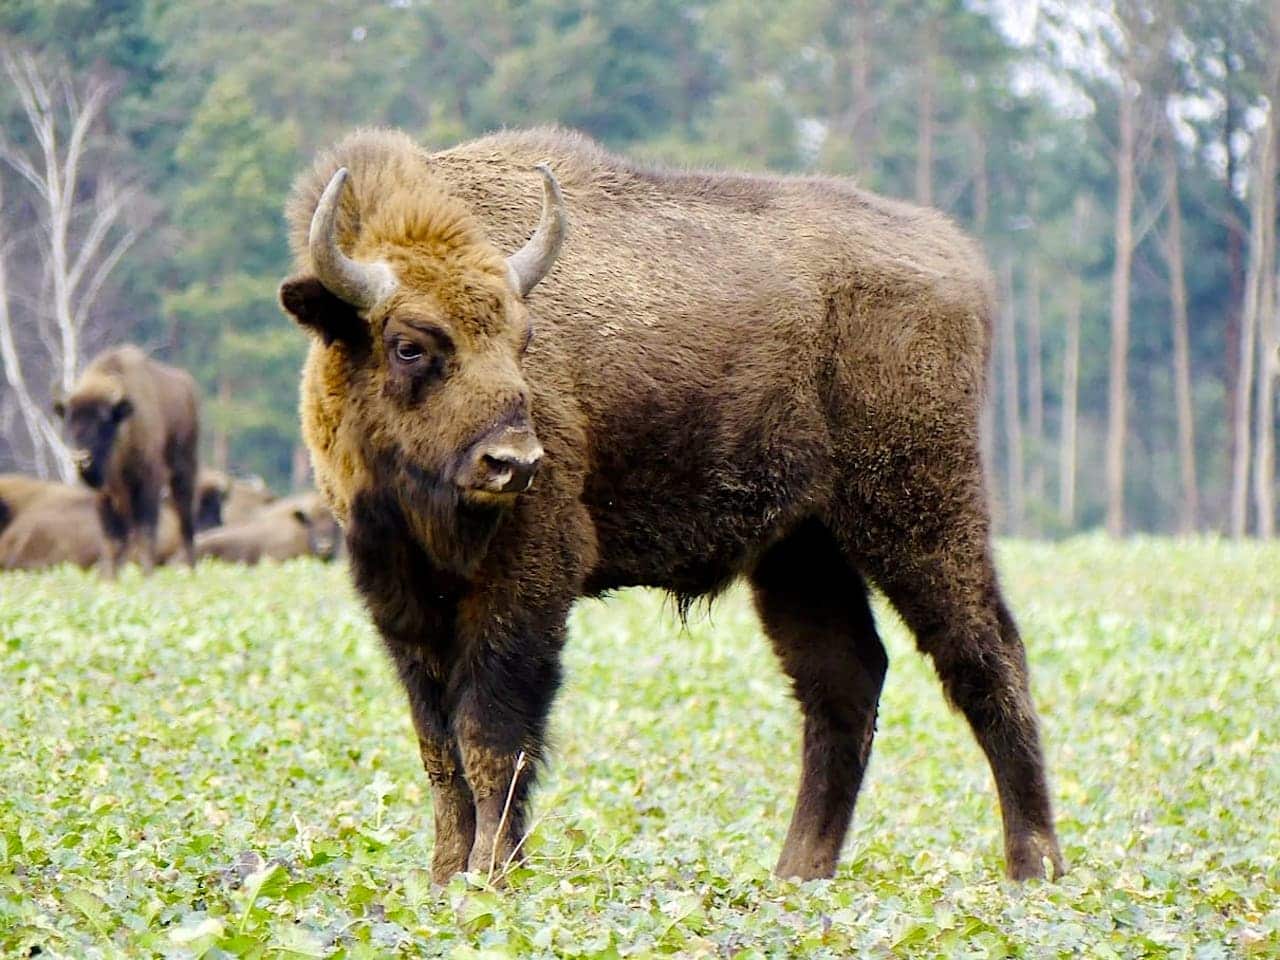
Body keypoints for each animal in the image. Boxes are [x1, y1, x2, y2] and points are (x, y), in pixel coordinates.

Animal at [282, 128, 1070, 885]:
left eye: (523, 339)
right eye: (409, 345)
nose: (514, 462)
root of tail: (956, 257)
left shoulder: (526, 583)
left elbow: (490, 740)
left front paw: (490, 878)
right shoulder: (402, 600)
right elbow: (438, 747)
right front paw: (445, 879)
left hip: (921, 512)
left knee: (986, 655)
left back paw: (1034, 866)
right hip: (801, 551)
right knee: (845, 679)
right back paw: (797, 873)